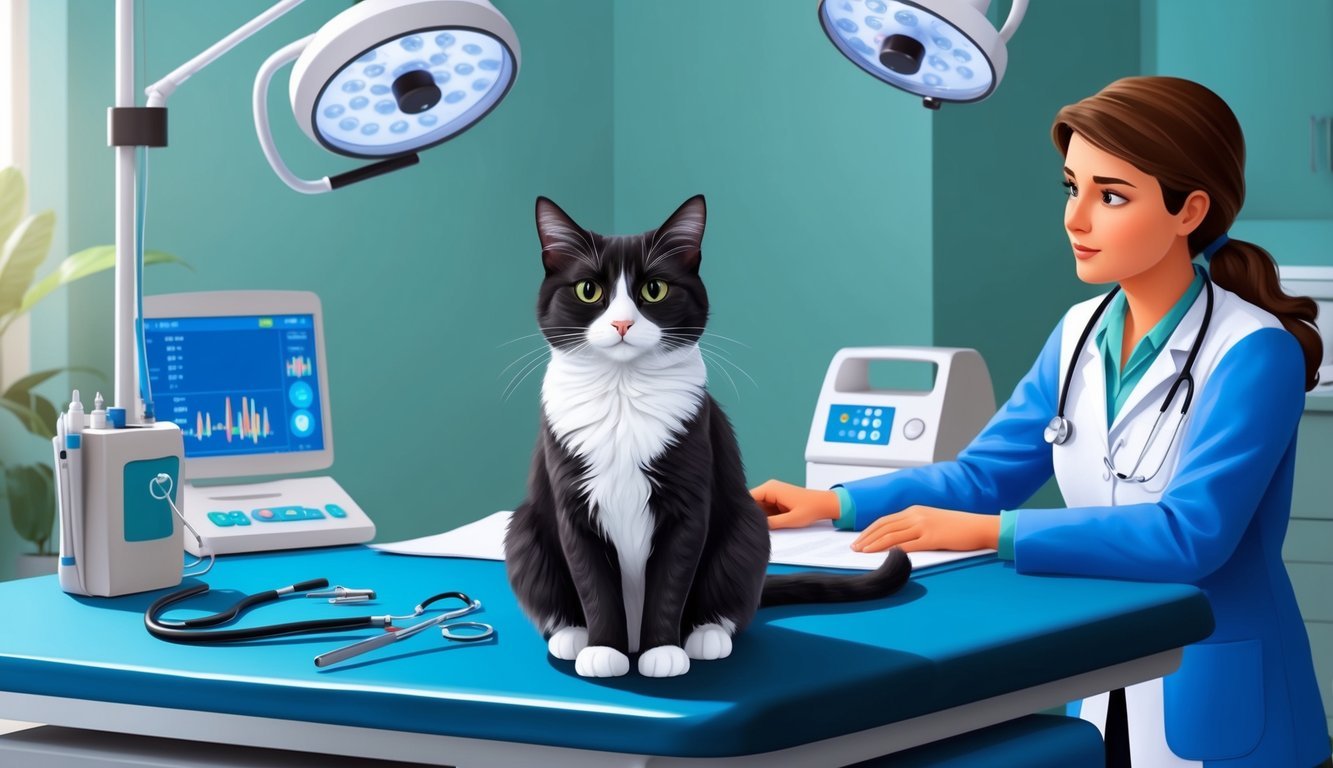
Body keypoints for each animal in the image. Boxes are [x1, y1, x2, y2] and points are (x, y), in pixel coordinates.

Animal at [503, 193, 911, 677]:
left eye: (654, 290)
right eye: (589, 290)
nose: (622, 325)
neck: (623, 394)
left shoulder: (690, 495)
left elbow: (672, 579)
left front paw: (663, 652)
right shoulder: (573, 505)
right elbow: (593, 582)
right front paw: (604, 650)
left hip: (747, 526)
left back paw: (705, 634)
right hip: (525, 531)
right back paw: (572, 634)